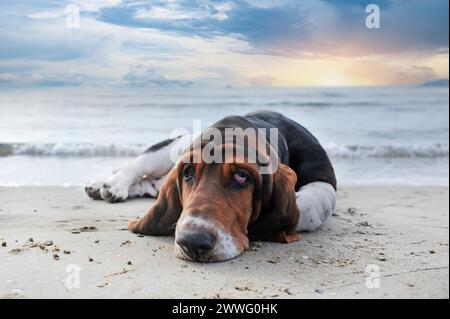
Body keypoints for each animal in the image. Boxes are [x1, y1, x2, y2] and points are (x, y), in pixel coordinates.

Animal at [86, 112, 336, 262]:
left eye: (242, 176)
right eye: (188, 173)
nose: (192, 242)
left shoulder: (324, 179)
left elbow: (305, 208)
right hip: (172, 147)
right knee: (134, 168)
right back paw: (110, 186)